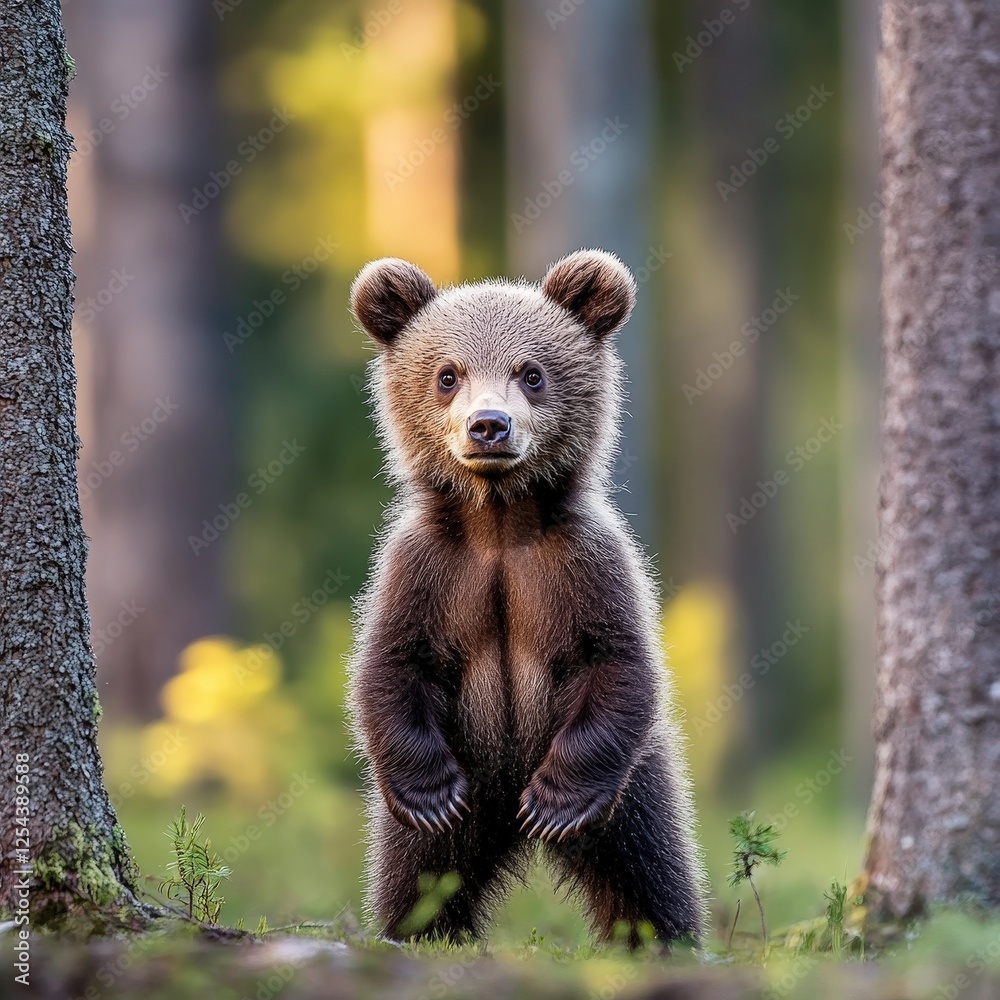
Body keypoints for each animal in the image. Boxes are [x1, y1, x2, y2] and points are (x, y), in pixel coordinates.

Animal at [347, 249, 707, 948]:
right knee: (417, 874)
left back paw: (660, 937)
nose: (489, 426)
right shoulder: (426, 569)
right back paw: (419, 930)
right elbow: (391, 662)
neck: (499, 525)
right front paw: (430, 792)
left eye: (532, 373)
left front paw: (556, 803)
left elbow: (622, 660)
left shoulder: (585, 565)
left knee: (649, 865)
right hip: (465, 782)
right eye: (447, 375)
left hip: (632, 788)